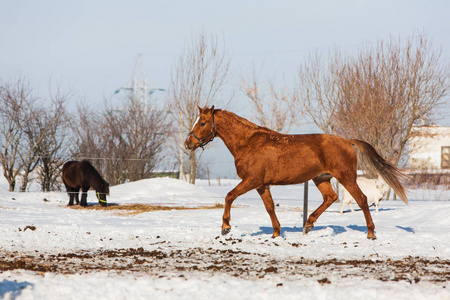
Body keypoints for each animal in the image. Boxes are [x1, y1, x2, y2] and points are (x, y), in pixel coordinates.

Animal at [185, 105, 410, 239]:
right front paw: (276, 234)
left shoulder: (251, 180)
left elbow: (229, 195)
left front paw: (225, 227)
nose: (188, 143)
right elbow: (269, 207)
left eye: (202, 122)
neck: (248, 143)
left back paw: (371, 233)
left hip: (346, 177)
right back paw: (308, 225)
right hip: (321, 178)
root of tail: (348, 141)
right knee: (330, 197)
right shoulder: (262, 185)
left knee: (362, 200)